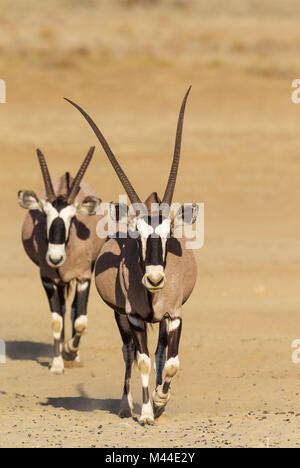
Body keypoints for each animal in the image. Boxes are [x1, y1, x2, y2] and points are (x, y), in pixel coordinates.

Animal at [19, 148, 103, 374]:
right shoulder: (48, 279)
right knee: (64, 309)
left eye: (72, 217)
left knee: (74, 310)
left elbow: (81, 320)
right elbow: (56, 321)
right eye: (44, 213)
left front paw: (69, 351)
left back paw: (74, 355)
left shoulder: (83, 277)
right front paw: (57, 364)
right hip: (60, 282)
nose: (55, 258)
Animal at [65, 88, 199, 424]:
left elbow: (170, 362)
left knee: (160, 354)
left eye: (169, 231)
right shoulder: (135, 318)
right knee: (129, 353)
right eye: (136, 232)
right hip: (120, 316)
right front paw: (147, 412)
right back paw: (126, 405)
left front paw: (161, 401)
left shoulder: (174, 316)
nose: (154, 278)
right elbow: (142, 361)